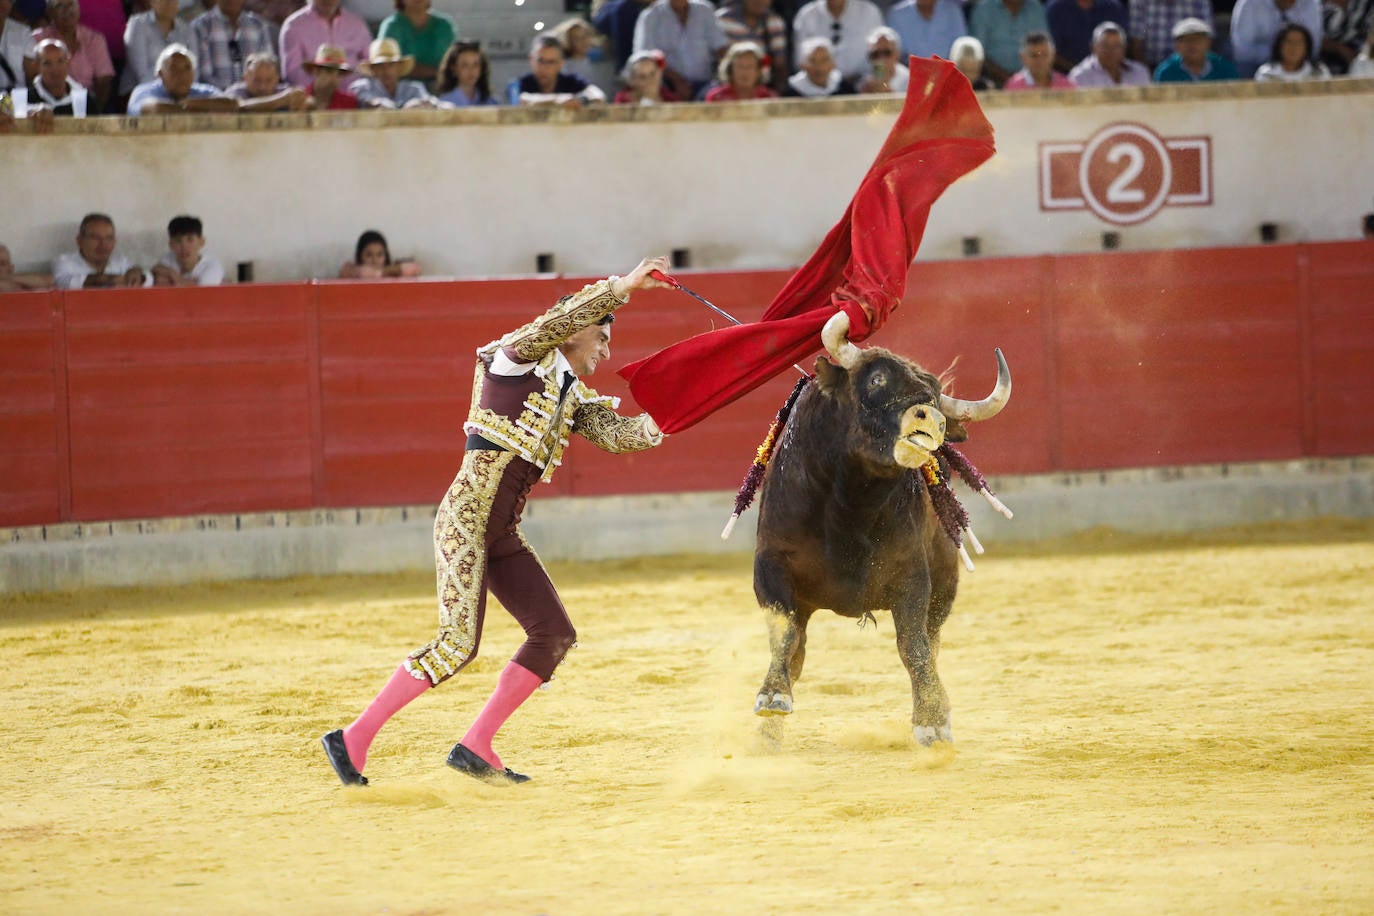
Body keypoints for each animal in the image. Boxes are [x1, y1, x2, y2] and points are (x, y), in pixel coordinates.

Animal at [752, 311, 1011, 747]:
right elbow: (784, 634)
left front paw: (931, 720)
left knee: (931, 642)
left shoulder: (913, 578)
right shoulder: (771, 566)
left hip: (944, 589)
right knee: (797, 647)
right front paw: (772, 698)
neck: (851, 502)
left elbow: (914, 646)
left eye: (935, 396)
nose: (934, 418)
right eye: (875, 380)